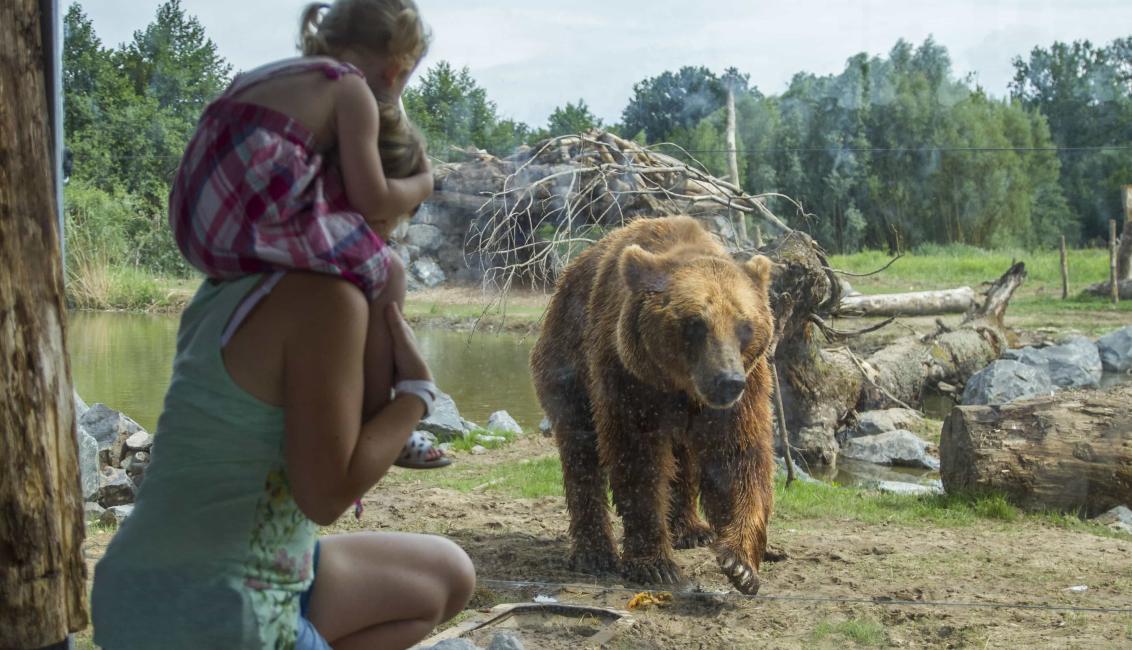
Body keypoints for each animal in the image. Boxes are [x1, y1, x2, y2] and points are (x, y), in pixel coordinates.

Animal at [529, 215, 778, 597]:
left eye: (745, 325)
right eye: (696, 323)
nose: (727, 381)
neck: (680, 384)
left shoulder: (746, 391)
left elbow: (738, 458)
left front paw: (740, 565)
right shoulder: (628, 377)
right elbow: (637, 459)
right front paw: (655, 565)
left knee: (685, 459)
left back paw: (691, 529)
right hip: (567, 361)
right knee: (580, 451)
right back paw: (593, 552)